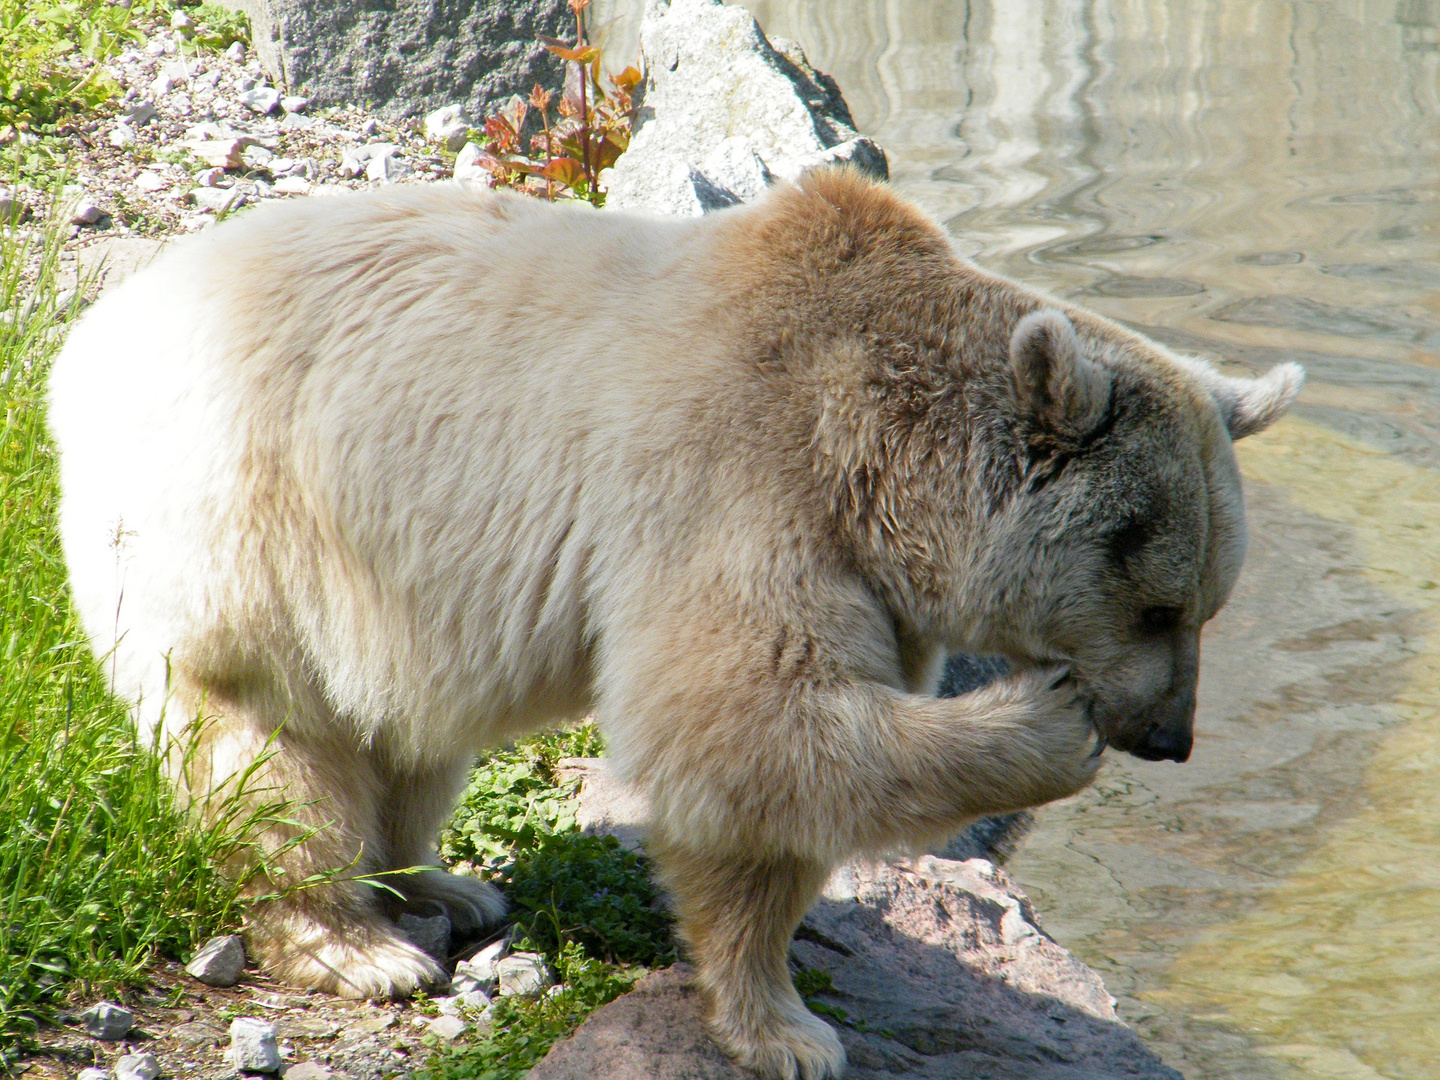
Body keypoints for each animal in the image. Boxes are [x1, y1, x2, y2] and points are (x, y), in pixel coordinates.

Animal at [50, 173, 1301, 1077]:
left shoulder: (861, 566)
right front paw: (1042, 726)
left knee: (407, 735)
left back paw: (442, 885)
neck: (881, 445)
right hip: (251, 517)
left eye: (1209, 604)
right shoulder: (742, 477)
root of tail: (88, 339)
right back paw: (355, 943)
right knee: (270, 742)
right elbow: (742, 717)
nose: (1170, 737)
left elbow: (771, 797)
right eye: (1158, 603)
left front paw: (776, 1017)